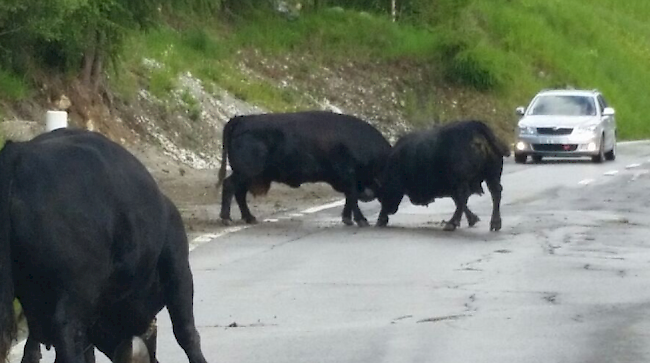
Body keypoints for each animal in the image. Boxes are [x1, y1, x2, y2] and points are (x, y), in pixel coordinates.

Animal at [216, 111, 390, 228]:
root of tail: (242, 119)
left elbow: (350, 198)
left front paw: (348, 219)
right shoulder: (348, 177)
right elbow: (352, 197)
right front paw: (361, 220)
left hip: (248, 175)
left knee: (239, 193)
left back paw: (249, 218)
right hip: (245, 172)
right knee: (230, 186)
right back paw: (226, 219)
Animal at [374, 121, 506, 232]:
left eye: (382, 192)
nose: (387, 211)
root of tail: (475, 126)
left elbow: (459, 201)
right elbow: (459, 202)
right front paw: (473, 219)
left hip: (465, 180)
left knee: (465, 196)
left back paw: (451, 223)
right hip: (492, 176)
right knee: (495, 193)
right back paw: (495, 223)